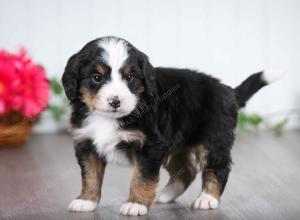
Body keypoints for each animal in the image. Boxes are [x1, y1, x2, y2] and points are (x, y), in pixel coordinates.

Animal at [61, 35, 282, 215]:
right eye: (96, 78)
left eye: (130, 77)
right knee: (187, 169)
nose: (115, 101)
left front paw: (136, 204)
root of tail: (229, 91)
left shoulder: (151, 145)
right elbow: (90, 175)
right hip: (175, 143)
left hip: (213, 139)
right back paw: (166, 194)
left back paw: (207, 199)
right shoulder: (86, 143)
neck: (107, 118)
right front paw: (86, 201)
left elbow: (142, 177)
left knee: (218, 168)